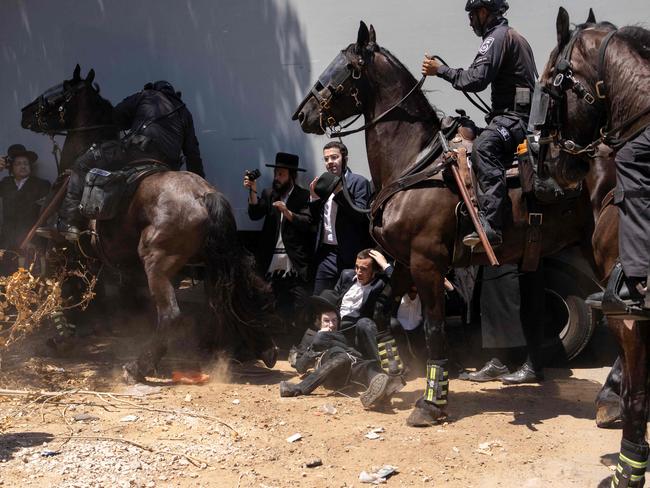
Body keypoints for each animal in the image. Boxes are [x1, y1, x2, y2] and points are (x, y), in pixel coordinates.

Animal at [20, 66, 276, 384]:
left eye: (61, 91)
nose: (24, 113)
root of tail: (203, 195)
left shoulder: (62, 252)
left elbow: (63, 292)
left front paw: (62, 337)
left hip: (157, 263)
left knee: (170, 315)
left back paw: (138, 366)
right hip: (216, 263)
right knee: (242, 292)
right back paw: (263, 347)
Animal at [294, 21, 596, 428]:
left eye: (343, 69)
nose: (302, 114)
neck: (416, 164)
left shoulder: (427, 265)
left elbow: (434, 330)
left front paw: (431, 403)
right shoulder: (404, 263)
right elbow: (380, 313)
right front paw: (389, 378)